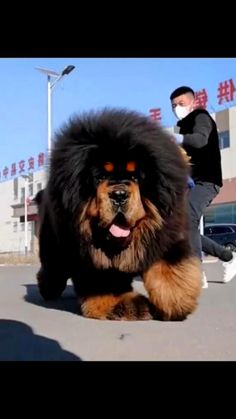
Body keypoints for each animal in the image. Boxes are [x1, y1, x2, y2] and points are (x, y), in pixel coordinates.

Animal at [35, 108, 201, 322]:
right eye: (100, 177)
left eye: (135, 176)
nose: (119, 194)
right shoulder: (88, 254)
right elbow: (106, 280)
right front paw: (127, 304)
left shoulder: (167, 235)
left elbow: (171, 269)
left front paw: (176, 301)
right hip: (54, 244)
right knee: (52, 268)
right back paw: (47, 288)